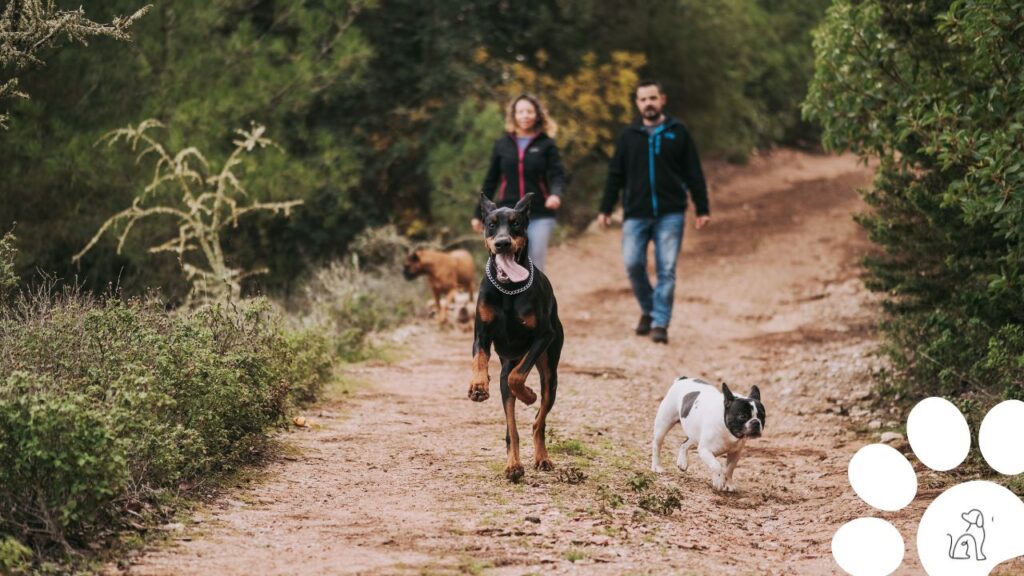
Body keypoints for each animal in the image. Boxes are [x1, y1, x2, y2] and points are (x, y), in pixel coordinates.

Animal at [468, 191, 565, 479]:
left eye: (516, 224)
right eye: (491, 224)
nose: (502, 243)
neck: (508, 289)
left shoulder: (543, 336)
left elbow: (518, 376)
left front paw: (529, 395)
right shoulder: (481, 334)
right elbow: (479, 358)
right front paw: (478, 386)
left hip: (551, 375)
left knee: (538, 421)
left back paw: (541, 457)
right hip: (505, 371)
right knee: (511, 426)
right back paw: (513, 465)